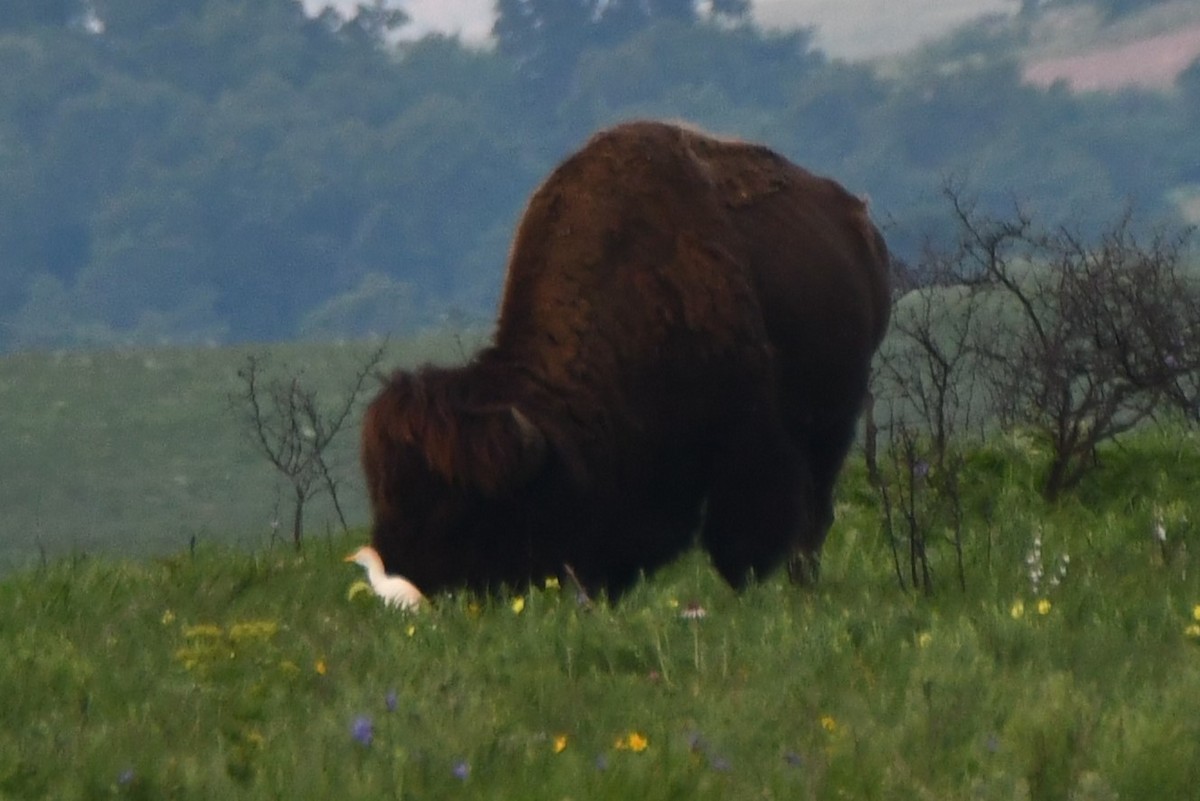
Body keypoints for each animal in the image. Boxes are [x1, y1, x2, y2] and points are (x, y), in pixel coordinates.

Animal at [355, 120, 892, 599]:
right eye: (384, 492)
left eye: (457, 508)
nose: (401, 572)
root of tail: (858, 220)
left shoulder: (749, 443)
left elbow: (744, 538)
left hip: (832, 423)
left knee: (814, 512)